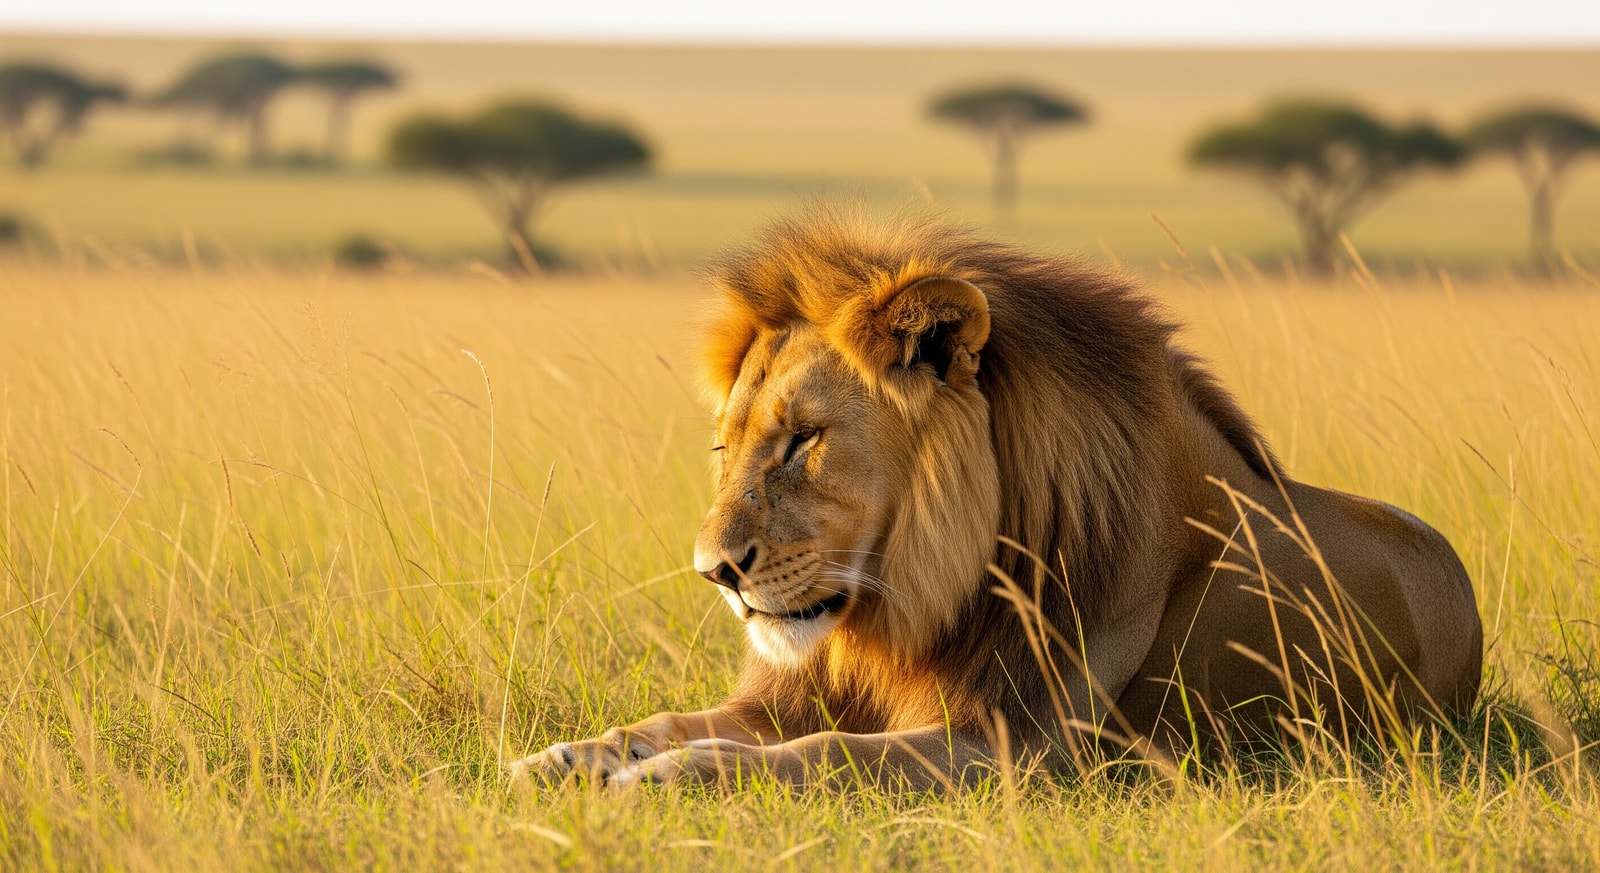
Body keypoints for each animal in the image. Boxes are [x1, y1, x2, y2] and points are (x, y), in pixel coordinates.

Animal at [511, 207, 1483, 790]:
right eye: (727, 446)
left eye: (803, 439)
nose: (715, 571)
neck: (905, 602)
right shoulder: (787, 697)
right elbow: (666, 719)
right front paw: (560, 758)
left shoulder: (1015, 748)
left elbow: (818, 753)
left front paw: (660, 778)